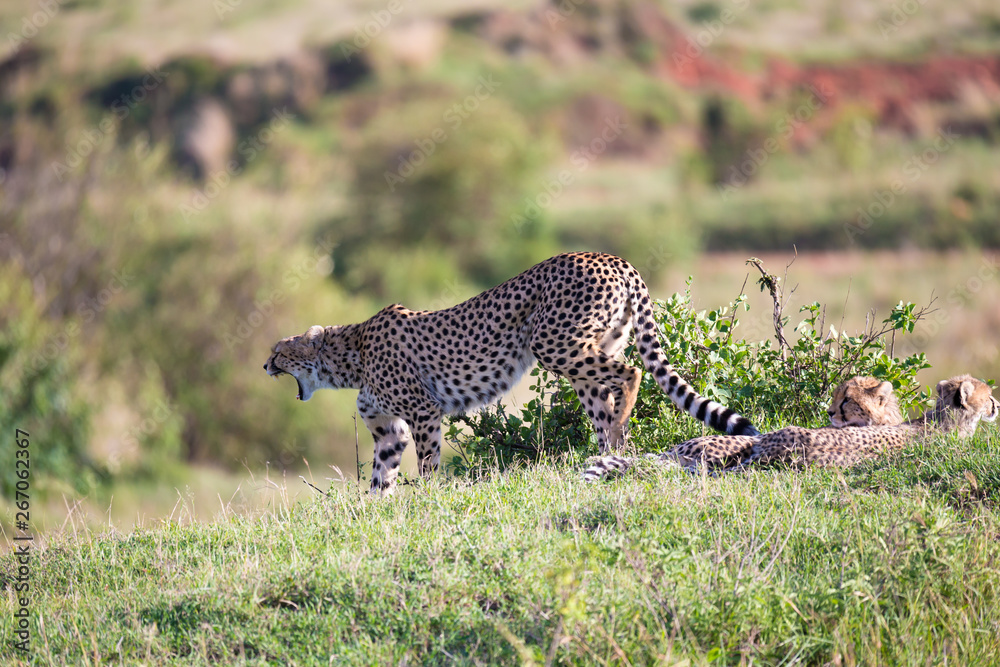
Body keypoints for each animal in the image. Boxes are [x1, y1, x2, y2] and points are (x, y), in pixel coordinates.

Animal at [263, 252, 759, 496]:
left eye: (278, 351)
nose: (265, 365)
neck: (353, 355)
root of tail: (609, 256)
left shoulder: (423, 412)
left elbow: (427, 463)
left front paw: (424, 500)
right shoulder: (391, 430)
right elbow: (380, 475)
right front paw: (374, 512)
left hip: (553, 343)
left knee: (632, 371)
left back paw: (621, 429)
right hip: (587, 353)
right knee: (606, 404)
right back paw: (611, 458)